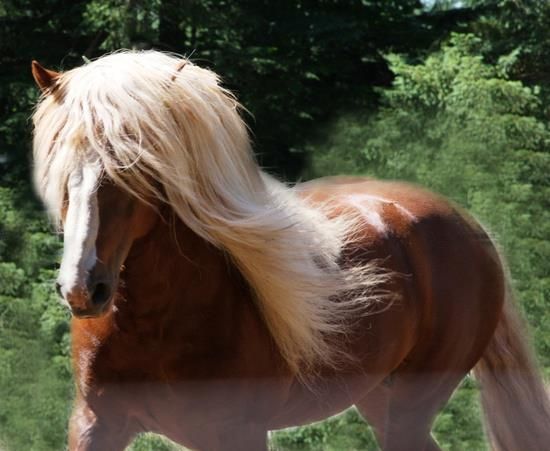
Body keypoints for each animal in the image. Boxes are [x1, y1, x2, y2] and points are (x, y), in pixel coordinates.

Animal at [32, 51, 548, 450]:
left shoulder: (237, 432)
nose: (82, 288)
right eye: (62, 165)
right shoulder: (95, 424)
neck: (155, 322)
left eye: (135, 167)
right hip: (378, 398)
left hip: (411, 404)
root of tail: (469, 226)